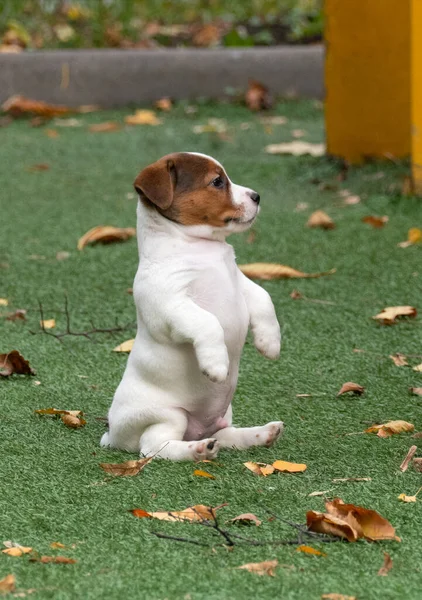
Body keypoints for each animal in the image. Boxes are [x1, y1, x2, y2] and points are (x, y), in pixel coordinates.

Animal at [100, 152, 282, 462]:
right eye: (218, 181)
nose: (257, 196)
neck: (202, 248)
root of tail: (111, 436)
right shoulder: (172, 305)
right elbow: (208, 323)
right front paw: (216, 365)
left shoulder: (240, 283)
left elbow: (264, 297)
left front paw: (270, 343)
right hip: (167, 416)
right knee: (154, 447)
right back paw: (198, 450)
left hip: (223, 414)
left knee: (227, 435)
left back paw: (261, 433)